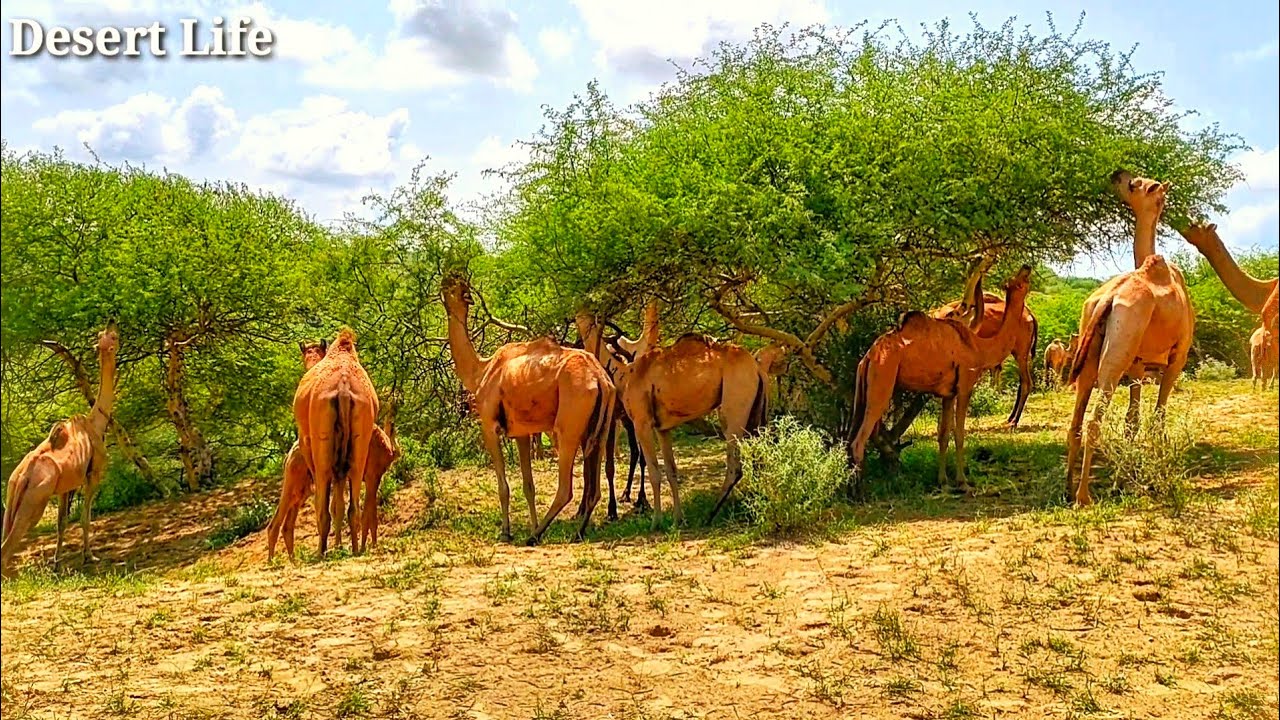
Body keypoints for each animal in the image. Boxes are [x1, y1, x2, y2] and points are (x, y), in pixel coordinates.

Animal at [3, 324, 119, 577]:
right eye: (112, 337)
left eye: (103, 335)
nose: (113, 326)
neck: (96, 422)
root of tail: (21, 477)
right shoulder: (93, 474)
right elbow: (85, 518)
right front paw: (89, 556)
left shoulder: (66, 486)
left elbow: (62, 522)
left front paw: (57, 563)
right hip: (35, 500)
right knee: (8, 546)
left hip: (12, 499)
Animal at [292, 327, 380, 557]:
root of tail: (343, 388)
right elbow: (339, 502)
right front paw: (340, 545)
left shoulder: (306, 444)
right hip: (360, 441)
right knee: (353, 503)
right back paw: (356, 549)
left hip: (321, 447)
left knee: (323, 501)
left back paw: (320, 551)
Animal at [442, 275, 615, 544]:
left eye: (452, 287)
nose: (442, 287)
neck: (481, 371)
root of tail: (600, 379)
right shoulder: (521, 432)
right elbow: (528, 485)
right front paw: (529, 524)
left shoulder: (489, 426)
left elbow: (503, 486)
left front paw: (506, 532)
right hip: (599, 428)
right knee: (594, 486)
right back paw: (574, 532)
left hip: (568, 424)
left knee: (566, 488)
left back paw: (535, 537)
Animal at [611, 302, 771, 528]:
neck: (627, 374)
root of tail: (757, 369)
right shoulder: (663, 428)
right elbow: (671, 470)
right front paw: (678, 519)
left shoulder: (642, 423)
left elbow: (654, 471)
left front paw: (656, 522)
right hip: (757, 414)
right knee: (760, 457)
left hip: (734, 408)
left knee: (735, 464)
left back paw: (710, 515)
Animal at [848, 266, 1034, 494]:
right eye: (1019, 282)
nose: (1026, 267)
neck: (979, 347)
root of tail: (868, 357)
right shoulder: (965, 387)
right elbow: (960, 434)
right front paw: (963, 483)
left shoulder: (948, 394)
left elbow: (943, 434)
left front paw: (943, 482)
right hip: (882, 378)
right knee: (859, 440)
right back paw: (860, 494)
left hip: (864, 388)